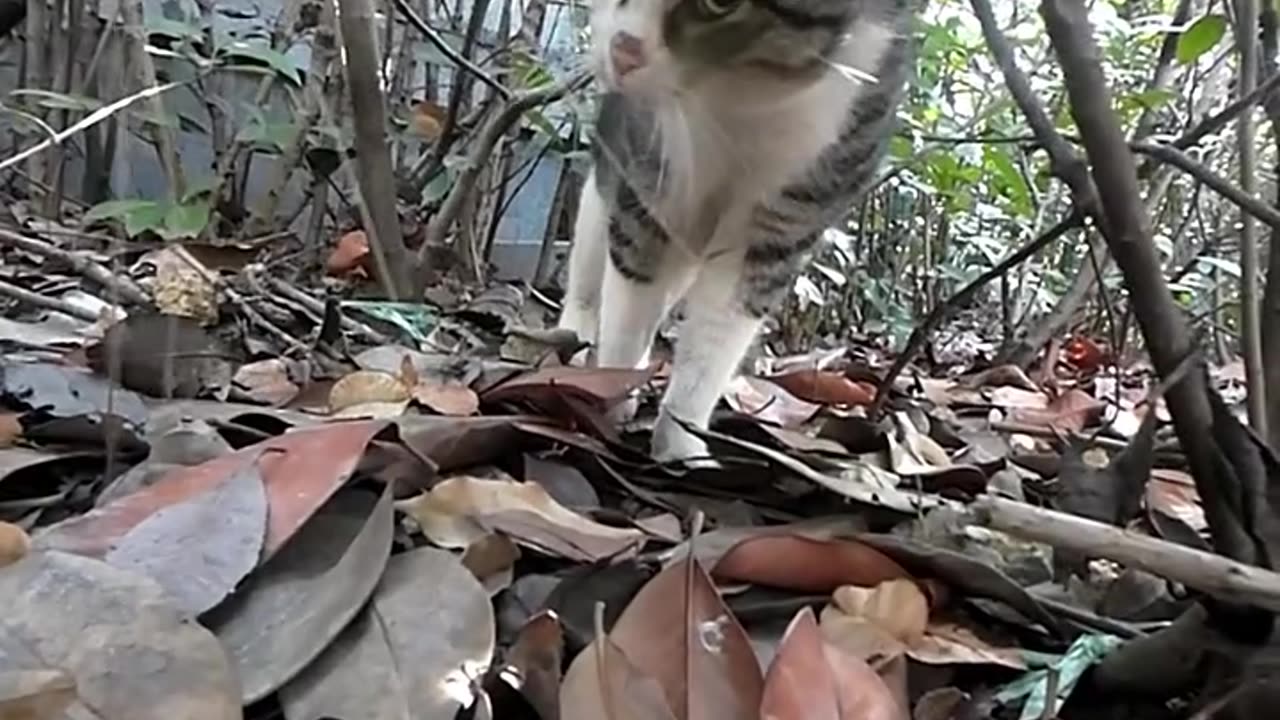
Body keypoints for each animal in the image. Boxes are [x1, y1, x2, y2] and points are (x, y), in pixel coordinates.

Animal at [558, 0, 911, 461]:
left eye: (719, 5)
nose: (622, 48)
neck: (732, 97)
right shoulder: (649, 175)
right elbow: (631, 293)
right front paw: (611, 396)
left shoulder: (798, 196)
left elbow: (717, 330)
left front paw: (680, 446)